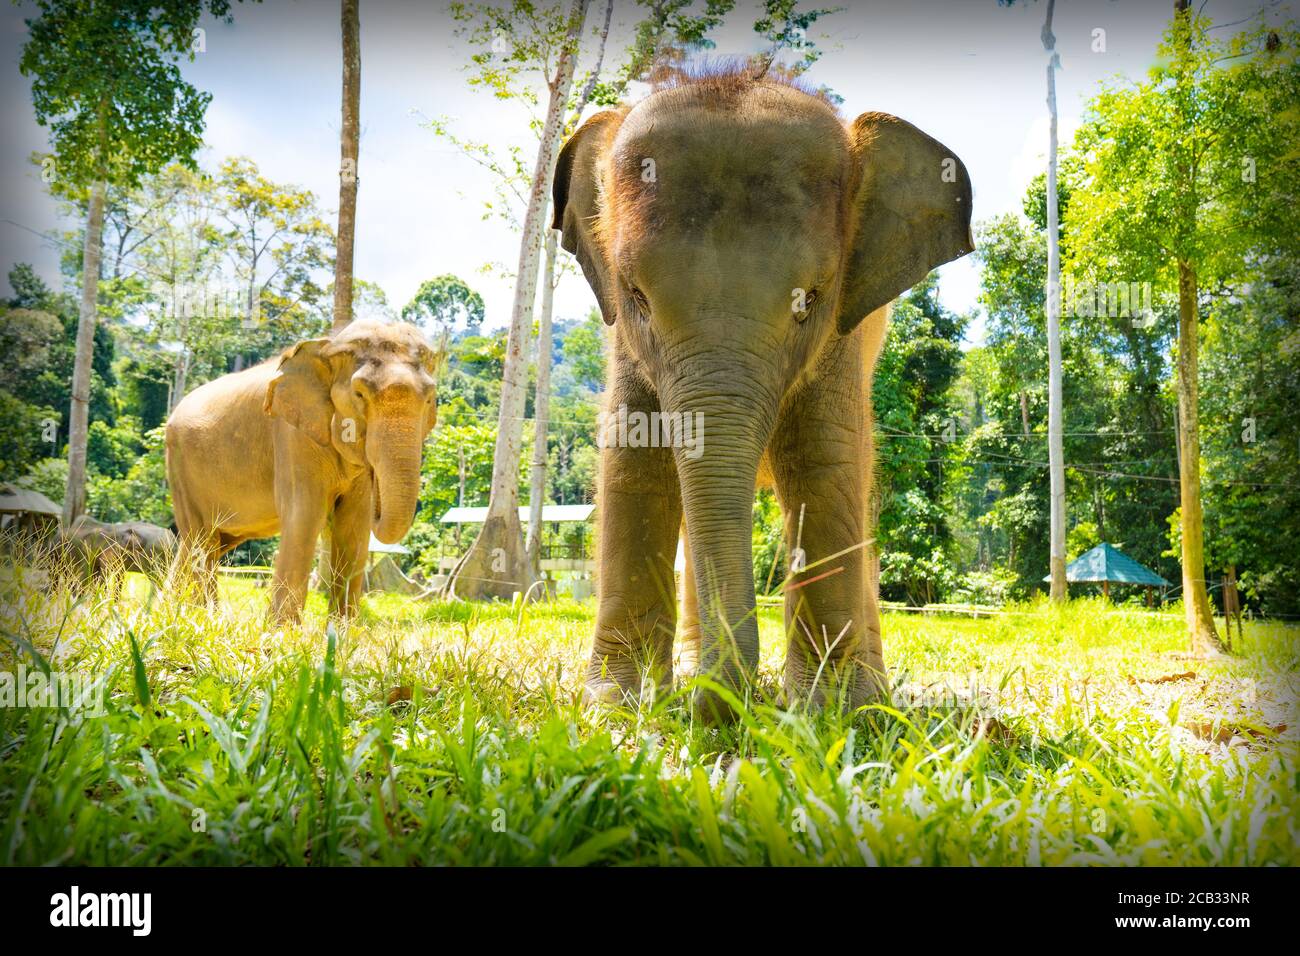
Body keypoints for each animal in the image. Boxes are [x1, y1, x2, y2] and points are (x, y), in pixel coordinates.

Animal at [165, 317, 441, 624]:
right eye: (359, 394)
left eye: (430, 399)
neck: (328, 346)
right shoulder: (291, 435)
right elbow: (304, 515)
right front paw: (281, 631)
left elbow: (354, 524)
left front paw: (343, 631)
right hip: (180, 469)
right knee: (202, 539)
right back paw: (200, 618)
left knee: (205, 543)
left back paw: (182, 611)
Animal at [551, 67, 977, 723]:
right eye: (635, 296)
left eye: (811, 300)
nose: (722, 703)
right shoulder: (623, 345)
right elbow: (632, 464)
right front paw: (615, 706)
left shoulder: (843, 338)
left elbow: (824, 462)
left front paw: (835, 712)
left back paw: (874, 694)